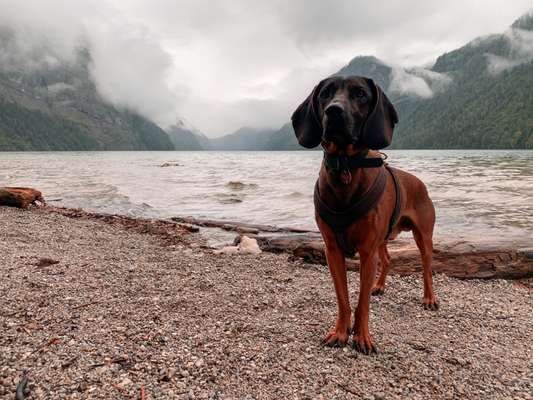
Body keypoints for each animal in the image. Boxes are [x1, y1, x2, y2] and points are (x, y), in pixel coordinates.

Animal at [290, 76, 436, 354]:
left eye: (360, 94)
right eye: (325, 94)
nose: (334, 111)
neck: (346, 164)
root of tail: (419, 182)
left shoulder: (367, 251)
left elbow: (362, 302)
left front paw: (363, 337)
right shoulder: (332, 250)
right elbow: (343, 299)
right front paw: (340, 331)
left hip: (423, 236)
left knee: (426, 268)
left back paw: (429, 297)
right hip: (382, 238)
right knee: (387, 259)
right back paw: (379, 285)